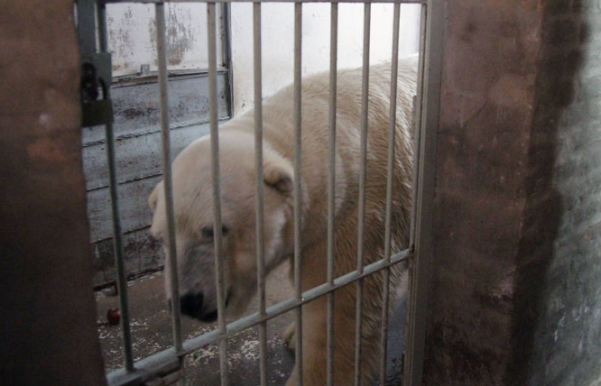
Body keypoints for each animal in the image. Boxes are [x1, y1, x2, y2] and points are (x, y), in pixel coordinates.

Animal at [149, 55, 418, 384]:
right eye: (160, 238)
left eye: (214, 230)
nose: (187, 301)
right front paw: (292, 334)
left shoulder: (360, 214)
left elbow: (341, 312)